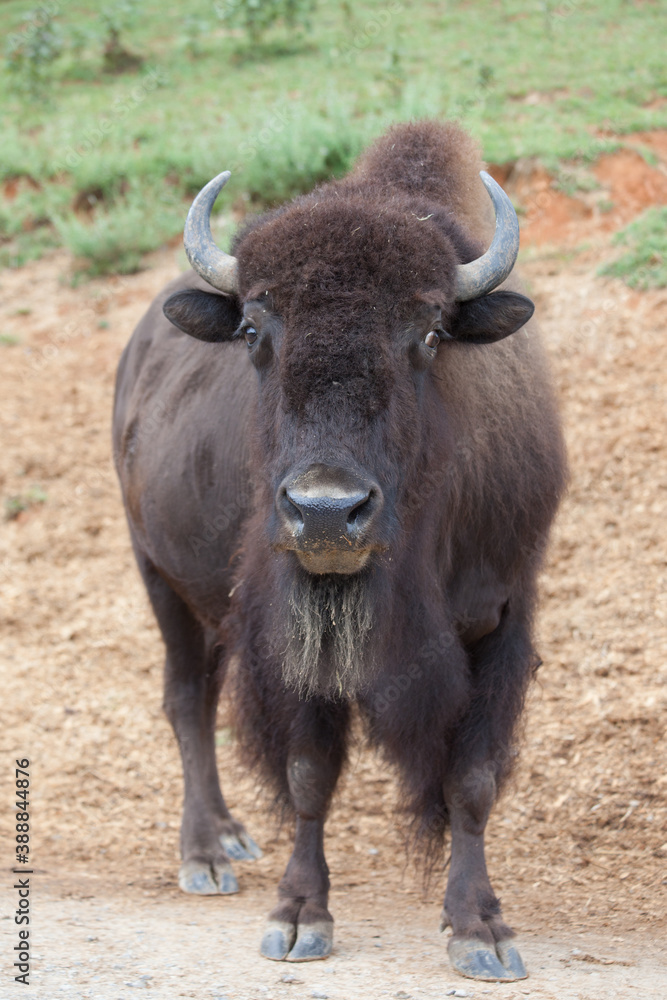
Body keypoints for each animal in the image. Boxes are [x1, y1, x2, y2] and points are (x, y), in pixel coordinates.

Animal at [112, 119, 568, 984]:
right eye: (253, 330)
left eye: (428, 332)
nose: (325, 512)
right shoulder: (297, 640)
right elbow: (309, 774)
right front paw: (297, 920)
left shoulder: (503, 619)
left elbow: (472, 781)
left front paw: (480, 931)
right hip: (156, 575)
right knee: (187, 700)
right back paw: (206, 854)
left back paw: (228, 839)